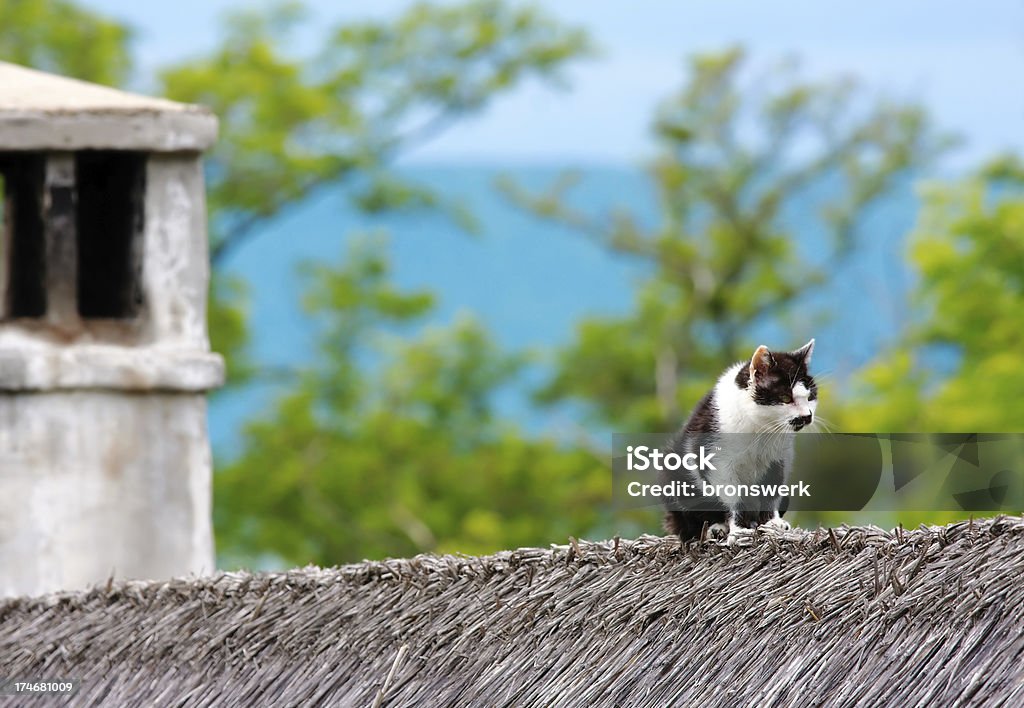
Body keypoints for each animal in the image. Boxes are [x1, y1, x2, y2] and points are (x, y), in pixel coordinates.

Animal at [663, 340, 815, 545]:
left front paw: (773, 524)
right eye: (786, 398)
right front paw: (739, 532)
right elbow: (732, 496)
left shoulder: (779, 458)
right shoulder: (717, 460)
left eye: (810, 397)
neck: (759, 428)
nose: (807, 416)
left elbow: (772, 489)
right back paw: (715, 529)